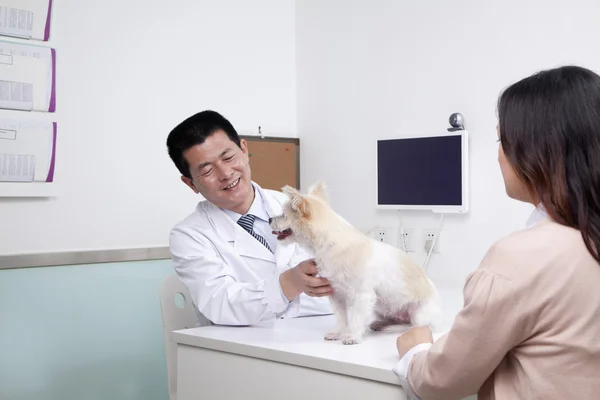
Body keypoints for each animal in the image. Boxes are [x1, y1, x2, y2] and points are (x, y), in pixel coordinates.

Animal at [270, 181, 442, 344]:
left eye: (283, 214)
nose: (270, 218)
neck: (330, 244)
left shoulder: (362, 296)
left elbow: (356, 319)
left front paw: (353, 336)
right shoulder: (336, 294)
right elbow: (341, 317)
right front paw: (339, 333)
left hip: (418, 314)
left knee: (416, 325)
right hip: (381, 307)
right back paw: (381, 324)